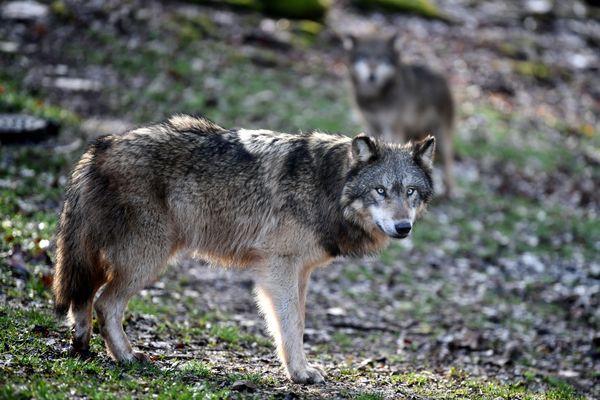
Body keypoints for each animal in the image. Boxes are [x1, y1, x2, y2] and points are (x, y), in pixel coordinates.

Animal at [52, 114, 436, 382]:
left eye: (410, 192)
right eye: (380, 191)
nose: (404, 227)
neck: (327, 186)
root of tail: (100, 147)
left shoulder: (299, 272)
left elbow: (295, 323)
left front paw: (299, 369)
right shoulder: (279, 268)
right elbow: (291, 324)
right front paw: (300, 374)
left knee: (83, 299)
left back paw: (83, 348)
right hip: (147, 259)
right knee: (105, 303)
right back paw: (129, 358)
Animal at [342, 33, 454, 197]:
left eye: (381, 58)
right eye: (363, 57)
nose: (372, 75)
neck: (375, 97)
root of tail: (442, 77)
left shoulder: (393, 127)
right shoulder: (370, 124)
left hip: (441, 135)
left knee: (448, 161)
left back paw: (449, 192)